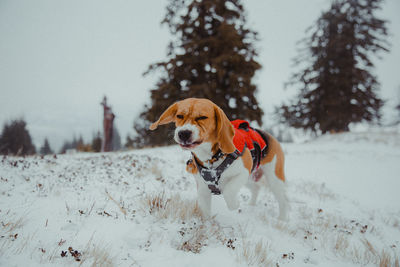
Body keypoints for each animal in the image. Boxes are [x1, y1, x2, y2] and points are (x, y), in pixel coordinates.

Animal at [148, 98, 290, 220]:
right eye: (179, 116)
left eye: (202, 117)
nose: (183, 133)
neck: (211, 158)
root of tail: (268, 135)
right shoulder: (203, 188)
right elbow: (205, 211)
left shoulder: (242, 172)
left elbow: (228, 191)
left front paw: (235, 204)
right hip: (250, 177)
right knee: (256, 188)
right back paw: (251, 206)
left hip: (274, 178)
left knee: (282, 200)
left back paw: (282, 219)